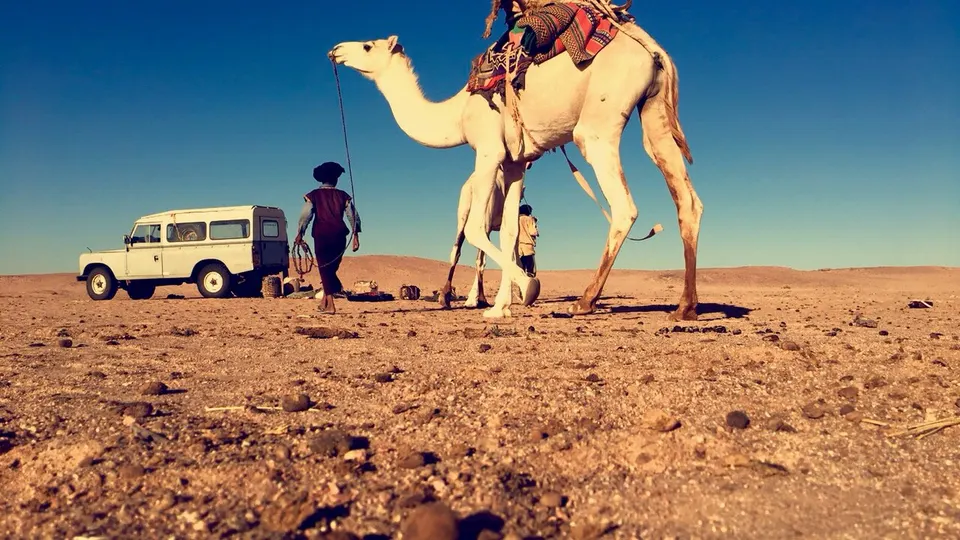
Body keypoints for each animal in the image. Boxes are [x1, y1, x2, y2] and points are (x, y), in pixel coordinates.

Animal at [328, 6, 703, 321]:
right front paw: (500, 306)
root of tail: (650, 47)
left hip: (598, 122)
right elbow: (509, 230)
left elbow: (477, 230)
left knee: (623, 206)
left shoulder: (487, 150)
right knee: (686, 198)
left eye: (367, 46)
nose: (336, 49)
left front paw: (527, 288)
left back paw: (585, 301)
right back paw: (685, 307)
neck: (457, 114)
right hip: (654, 111)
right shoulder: (515, 162)